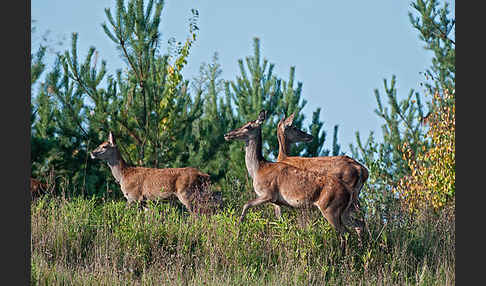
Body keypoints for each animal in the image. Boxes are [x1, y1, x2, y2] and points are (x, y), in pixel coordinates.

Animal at [223, 110, 354, 251]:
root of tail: (348, 192)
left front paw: (238, 232)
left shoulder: (268, 194)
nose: (227, 134)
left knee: (345, 233)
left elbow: (246, 205)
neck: (258, 169)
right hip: (343, 211)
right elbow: (280, 222)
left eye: (248, 126)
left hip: (330, 208)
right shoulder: (278, 202)